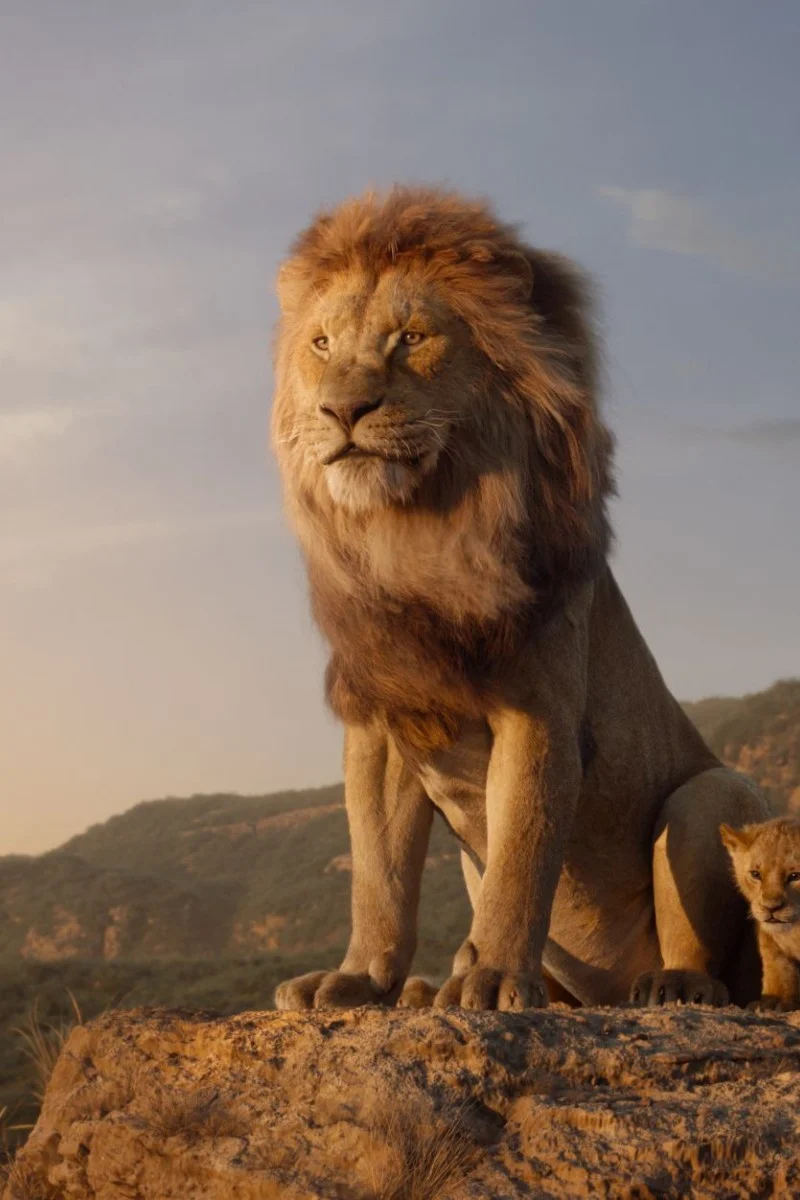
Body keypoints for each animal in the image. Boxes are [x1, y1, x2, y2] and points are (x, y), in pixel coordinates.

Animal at [270, 185, 767, 1012]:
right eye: (321, 344)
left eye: (412, 338)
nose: (343, 411)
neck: (416, 534)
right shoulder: (383, 721)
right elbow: (378, 875)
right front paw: (360, 978)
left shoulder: (539, 712)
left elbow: (521, 857)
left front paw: (496, 978)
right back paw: (427, 990)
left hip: (711, 794)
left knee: (714, 962)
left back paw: (670, 985)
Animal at [721, 818, 800, 1011]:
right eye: (756, 874)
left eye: (795, 876)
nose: (771, 908)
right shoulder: (769, 937)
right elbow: (777, 967)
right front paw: (774, 1001)